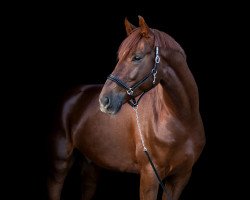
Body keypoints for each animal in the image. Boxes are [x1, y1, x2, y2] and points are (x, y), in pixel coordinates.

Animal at [47, 16, 205, 200]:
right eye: (119, 56)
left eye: (137, 57)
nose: (104, 100)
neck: (181, 121)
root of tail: (74, 93)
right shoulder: (150, 176)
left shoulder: (180, 178)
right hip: (60, 163)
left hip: (91, 164)